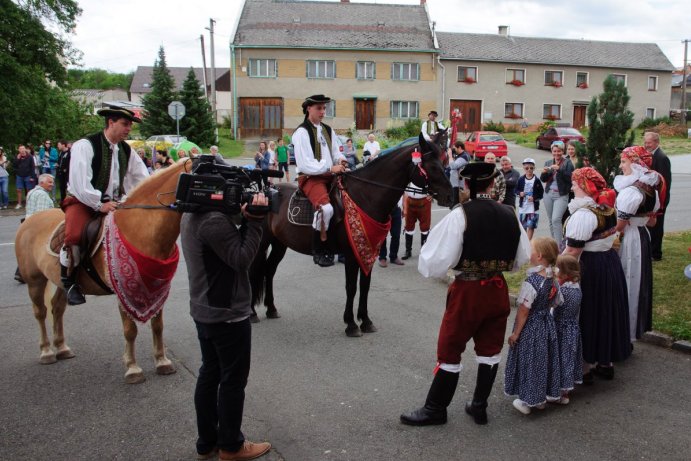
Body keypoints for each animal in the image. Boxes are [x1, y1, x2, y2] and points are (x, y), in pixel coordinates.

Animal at [14, 160, 192, 382]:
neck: (138, 229)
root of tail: (30, 219)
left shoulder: (156, 288)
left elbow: (158, 326)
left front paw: (162, 361)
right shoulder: (124, 290)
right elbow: (130, 330)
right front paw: (133, 368)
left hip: (61, 283)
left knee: (57, 308)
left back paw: (62, 348)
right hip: (35, 281)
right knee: (40, 312)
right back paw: (46, 351)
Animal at [250, 131, 454, 336]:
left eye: (444, 161)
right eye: (432, 166)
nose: (450, 195)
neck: (364, 197)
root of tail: (262, 191)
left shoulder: (367, 251)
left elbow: (365, 286)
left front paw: (365, 320)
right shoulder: (350, 253)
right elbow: (351, 287)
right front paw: (351, 324)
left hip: (279, 243)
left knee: (269, 270)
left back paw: (271, 308)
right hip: (262, 243)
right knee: (253, 270)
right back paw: (252, 313)